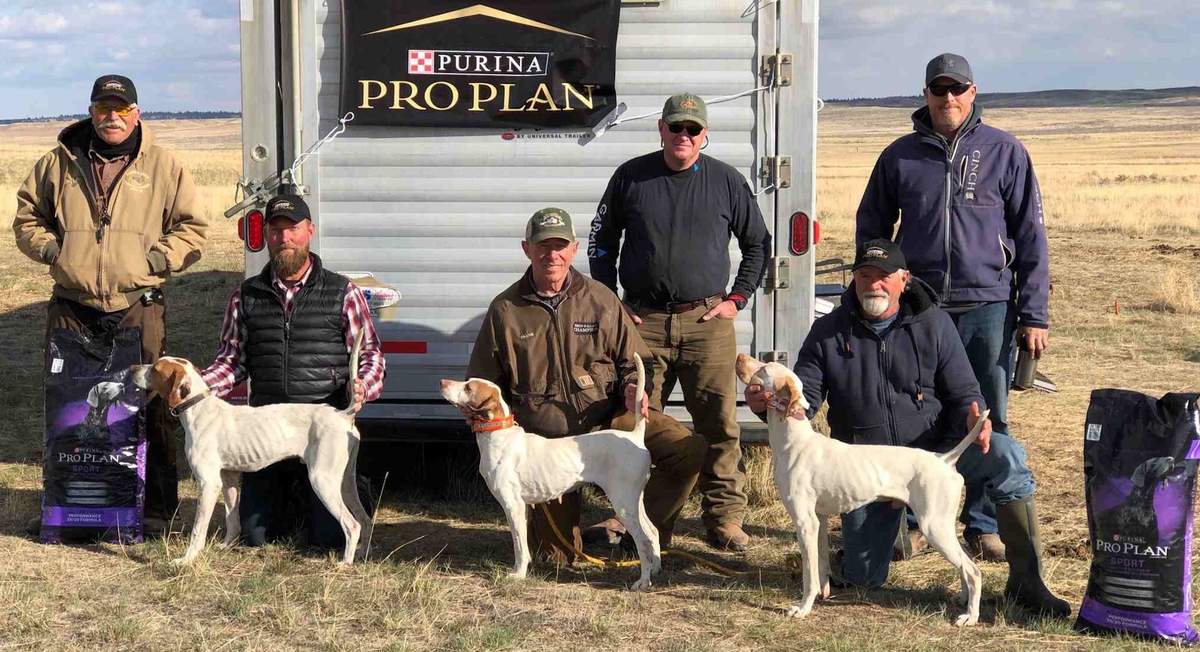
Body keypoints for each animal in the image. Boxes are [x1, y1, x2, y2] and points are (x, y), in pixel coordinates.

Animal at [441, 357, 667, 590]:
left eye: (469, 388)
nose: (442, 382)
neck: (499, 436)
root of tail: (635, 436)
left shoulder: (513, 506)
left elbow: (519, 547)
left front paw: (518, 574)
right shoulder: (524, 509)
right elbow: (523, 545)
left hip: (622, 504)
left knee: (642, 541)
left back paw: (643, 581)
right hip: (633, 502)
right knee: (652, 532)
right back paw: (655, 570)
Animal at [729, 355, 984, 629]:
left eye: (765, 368)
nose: (740, 357)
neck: (794, 441)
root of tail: (945, 459)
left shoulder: (805, 523)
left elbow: (809, 575)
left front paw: (803, 608)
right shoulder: (818, 520)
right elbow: (821, 565)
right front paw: (823, 594)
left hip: (934, 527)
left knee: (973, 571)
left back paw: (971, 616)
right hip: (942, 527)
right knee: (965, 564)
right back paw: (962, 599)